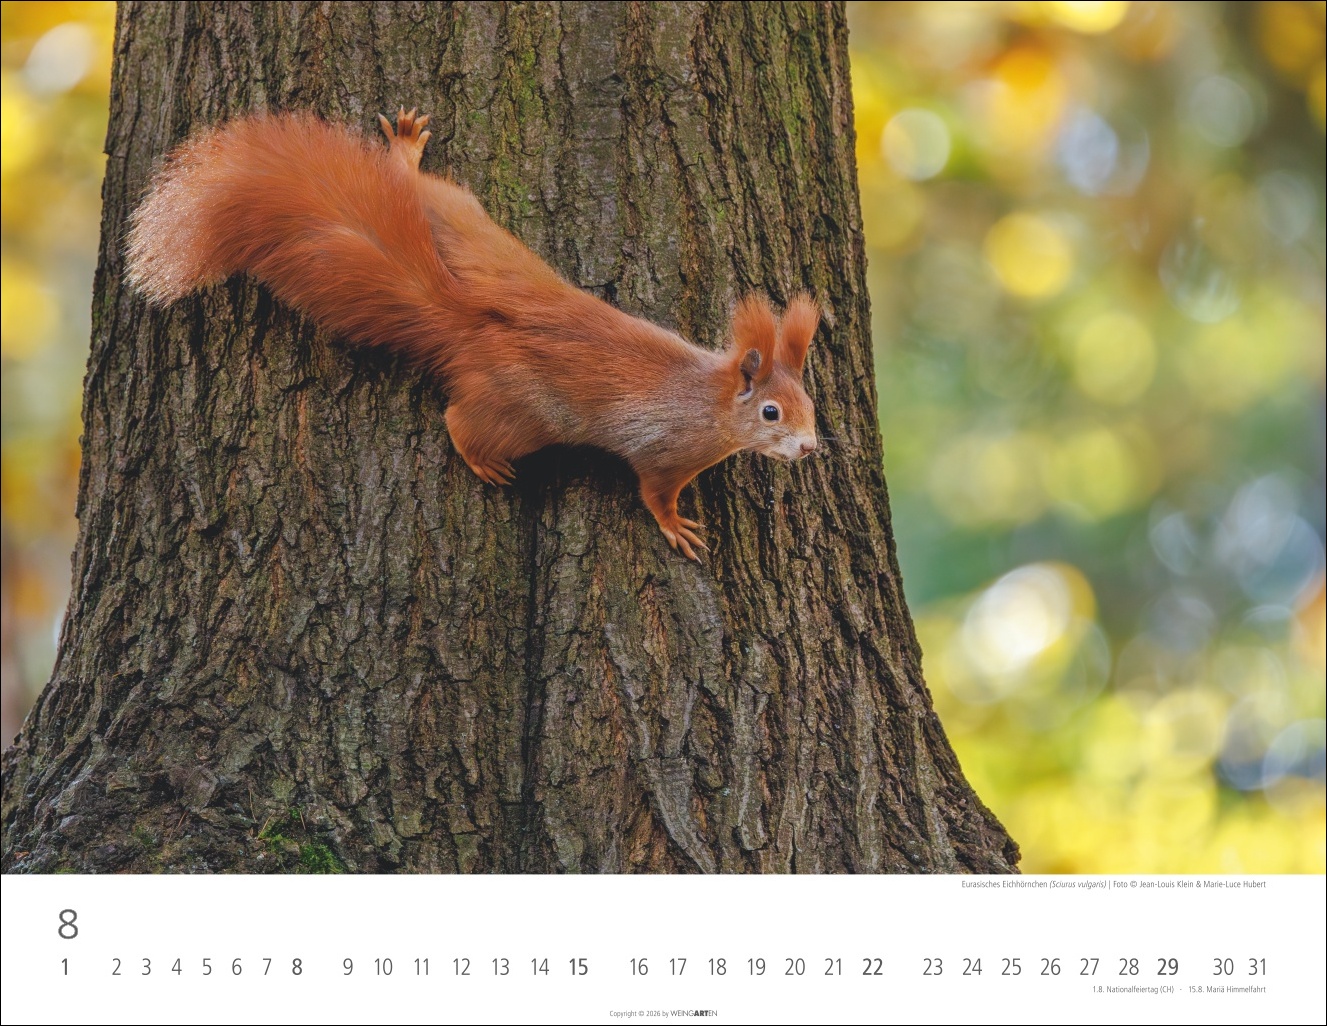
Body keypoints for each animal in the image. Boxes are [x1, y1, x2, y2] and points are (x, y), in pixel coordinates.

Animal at [126, 108, 820, 560]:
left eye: (811, 405)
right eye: (770, 412)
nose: (812, 448)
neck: (710, 400)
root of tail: (469, 324)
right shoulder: (663, 452)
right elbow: (653, 493)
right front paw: (676, 527)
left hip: (470, 227)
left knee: (418, 191)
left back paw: (405, 155)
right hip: (522, 415)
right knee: (460, 420)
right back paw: (481, 459)